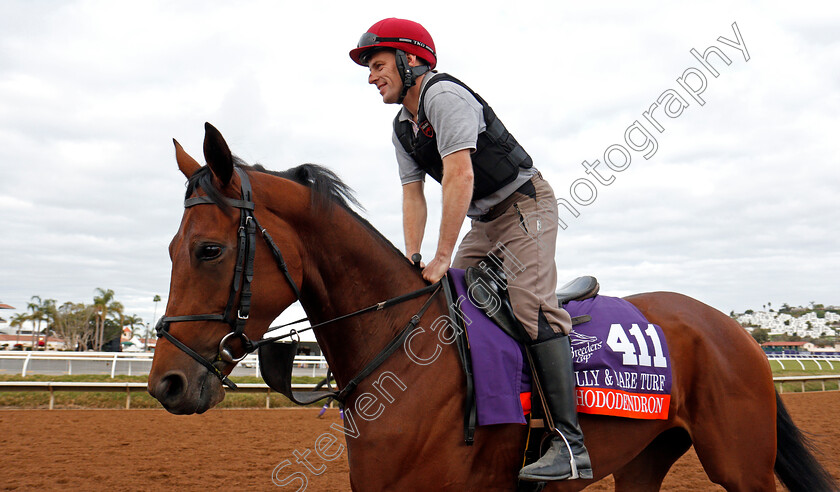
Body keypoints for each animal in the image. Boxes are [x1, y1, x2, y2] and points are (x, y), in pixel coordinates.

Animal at [148, 121, 836, 490]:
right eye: (173, 248)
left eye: (208, 249)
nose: (166, 383)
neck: (403, 354)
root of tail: (730, 329)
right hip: (644, 459)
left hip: (741, 465)